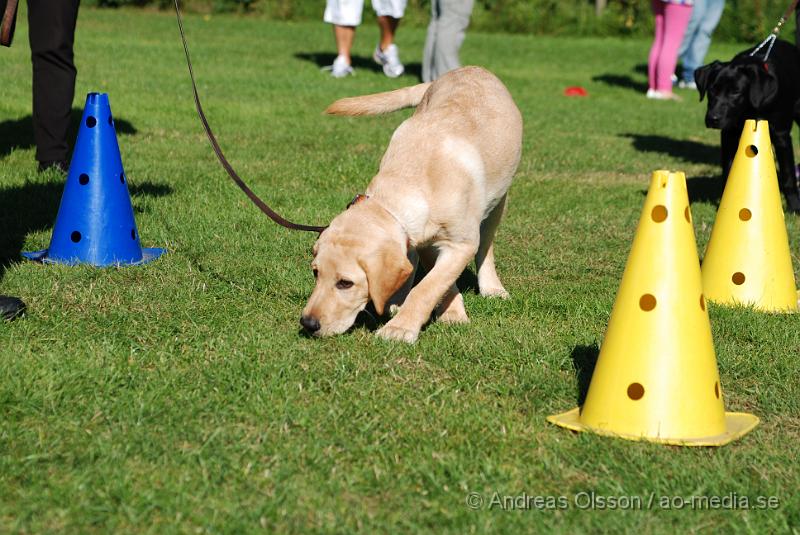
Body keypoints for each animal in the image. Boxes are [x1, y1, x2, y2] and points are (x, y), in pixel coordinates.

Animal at [302, 67, 524, 344]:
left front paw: (401, 328)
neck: (410, 183)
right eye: (315, 273)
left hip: (499, 199)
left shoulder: (461, 244)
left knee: (486, 245)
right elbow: (436, 281)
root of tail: (470, 68)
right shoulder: (426, 241)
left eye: (345, 283)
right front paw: (450, 311)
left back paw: (492, 287)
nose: (308, 323)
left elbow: (428, 287)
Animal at [692, 39, 800, 214]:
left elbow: (788, 175)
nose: (713, 119)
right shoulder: (729, 135)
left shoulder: (781, 135)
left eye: (736, 92)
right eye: (712, 90)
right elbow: (729, 171)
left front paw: (795, 206)